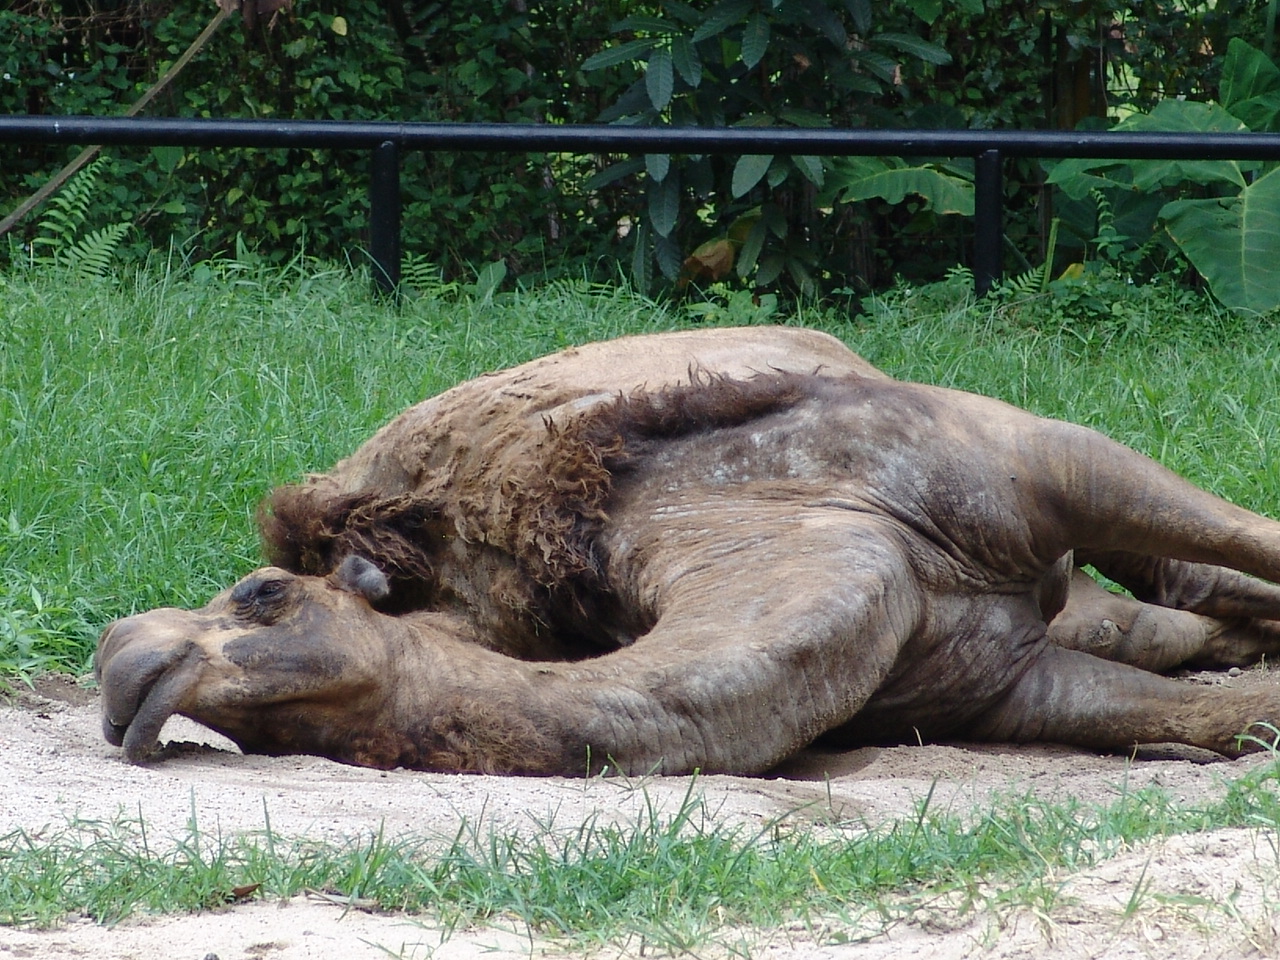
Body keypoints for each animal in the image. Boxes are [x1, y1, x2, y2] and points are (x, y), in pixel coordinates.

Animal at [95, 326, 1280, 775]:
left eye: (260, 595)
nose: (121, 661)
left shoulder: (1024, 459)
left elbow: (1233, 530)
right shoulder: (1003, 684)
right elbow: (1206, 717)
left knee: (1191, 567)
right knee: (1161, 622)